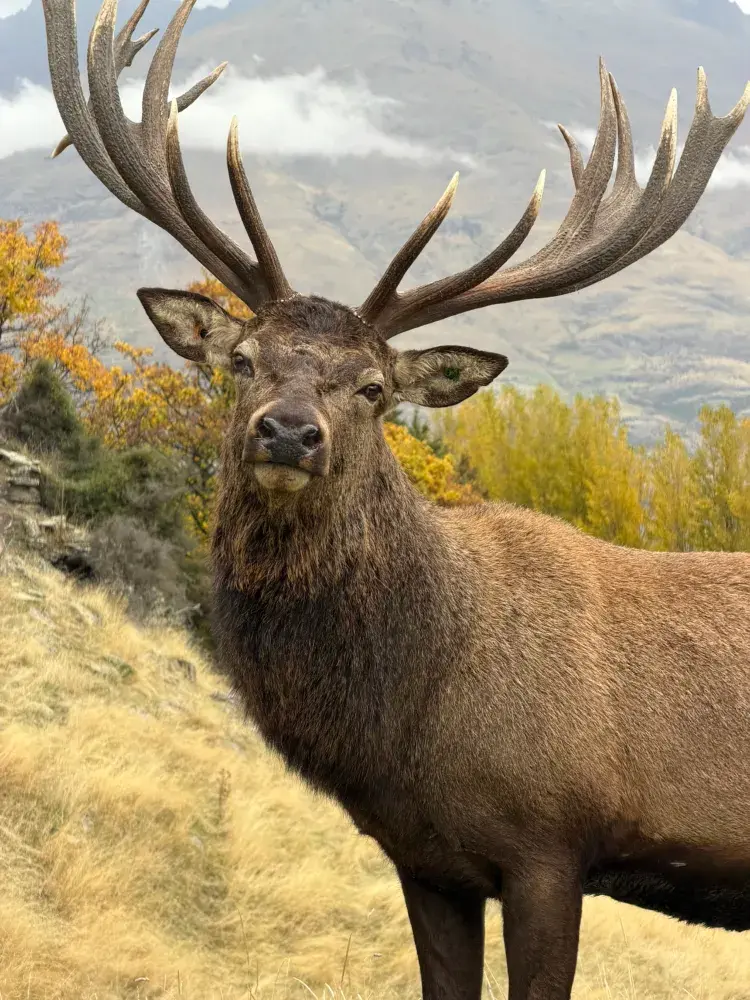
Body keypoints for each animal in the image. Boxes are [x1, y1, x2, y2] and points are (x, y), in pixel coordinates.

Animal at [42, 2, 750, 998]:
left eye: (374, 387)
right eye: (242, 360)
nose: (289, 432)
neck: (409, 721)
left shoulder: (550, 841)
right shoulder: (425, 858)